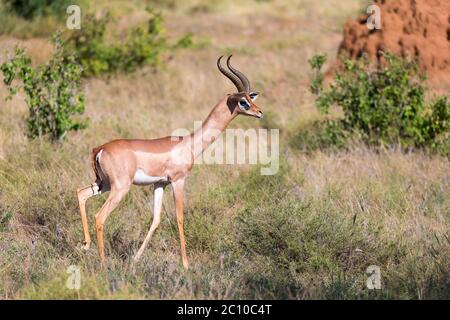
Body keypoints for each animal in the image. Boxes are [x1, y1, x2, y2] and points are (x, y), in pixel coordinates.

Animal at [76, 55, 262, 268]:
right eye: (243, 101)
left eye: (251, 98)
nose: (259, 112)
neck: (188, 143)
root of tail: (100, 149)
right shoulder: (178, 181)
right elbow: (180, 217)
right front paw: (186, 264)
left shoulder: (160, 184)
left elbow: (156, 219)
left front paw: (136, 258)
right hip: (120, 188)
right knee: (99, 217)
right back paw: (102, 264)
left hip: (103, 184)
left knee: (81, 193)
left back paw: (85, 245)